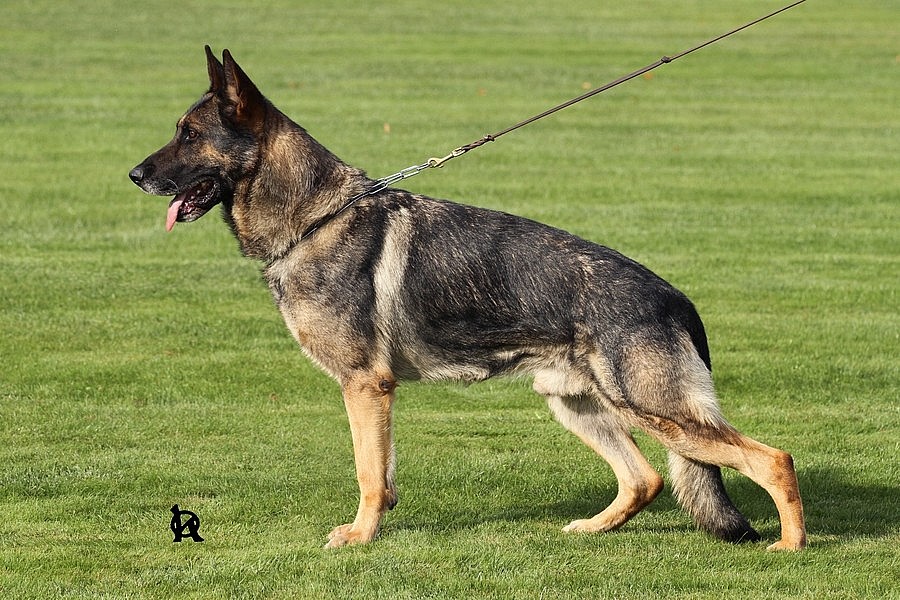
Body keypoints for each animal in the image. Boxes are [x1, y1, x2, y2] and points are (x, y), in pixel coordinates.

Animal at [129, 47, 806, 550]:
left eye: (188, 135)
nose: (134, 175)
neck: (315, 217)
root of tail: (677, 300)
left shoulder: (364, 385)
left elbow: (368, 473)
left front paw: (360, 538)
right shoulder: (375, 393)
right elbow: (383, 474)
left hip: (652, 409)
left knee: (773, 458)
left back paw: (791, 545)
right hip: (577, 403)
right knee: (644, 480)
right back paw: (591, 528)